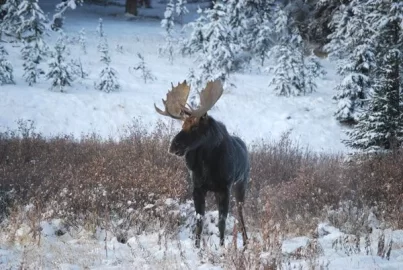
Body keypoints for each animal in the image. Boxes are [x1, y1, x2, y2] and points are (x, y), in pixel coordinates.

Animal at [155, 79, 249, 248]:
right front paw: (197, 246)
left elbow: (221, 222)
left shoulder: (224, 188)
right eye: (182, 125)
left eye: (195, 127)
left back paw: (246, 242)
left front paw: (222, 247)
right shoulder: (198, 188)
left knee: (240, 212)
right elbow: (199, 220)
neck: (207, 164)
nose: (173, 146)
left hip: (241, 183)